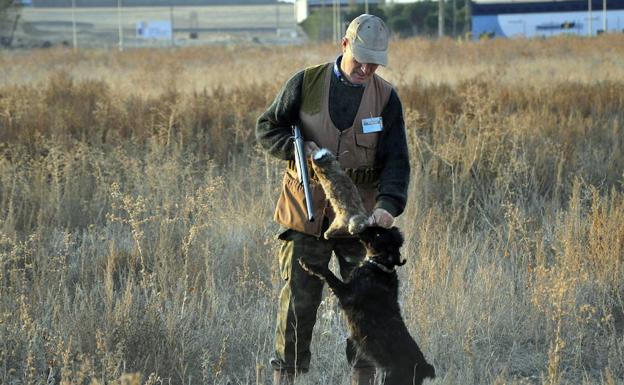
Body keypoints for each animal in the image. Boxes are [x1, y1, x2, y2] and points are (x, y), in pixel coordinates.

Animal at [300, 225, 436, 384]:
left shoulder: (347, 293)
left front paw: (308, 264)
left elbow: (328, 273)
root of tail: (424, 368)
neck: (380, 267)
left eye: (378, 234)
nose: (365, 226)